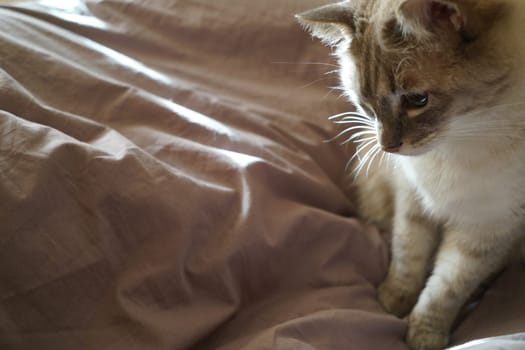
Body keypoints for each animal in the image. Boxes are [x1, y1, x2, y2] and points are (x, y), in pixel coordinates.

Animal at [296, 0, 524, 350]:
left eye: (418, 100)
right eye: (366, 106)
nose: (387, 147)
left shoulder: (488, 228)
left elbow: (445, 289)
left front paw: (424, 335)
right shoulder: (413, 198)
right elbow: (407, 255)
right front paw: (393, 301)